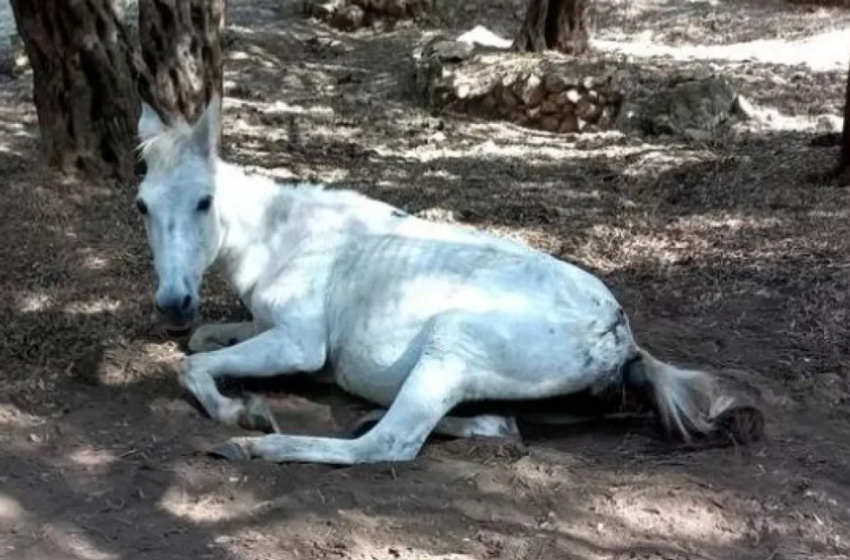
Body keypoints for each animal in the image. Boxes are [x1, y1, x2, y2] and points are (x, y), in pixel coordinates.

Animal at [132, 96, 744, 464]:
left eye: (204, 201)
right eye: (141, 205)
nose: (174, 301)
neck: (285, 237)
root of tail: (623, 342)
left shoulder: (300, 344)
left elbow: (192, 364)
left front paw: (243, 411)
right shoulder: (263, 326)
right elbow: (201, 342)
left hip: (449, 345)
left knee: (390, 444)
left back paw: (254, 446)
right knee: (497, 426)